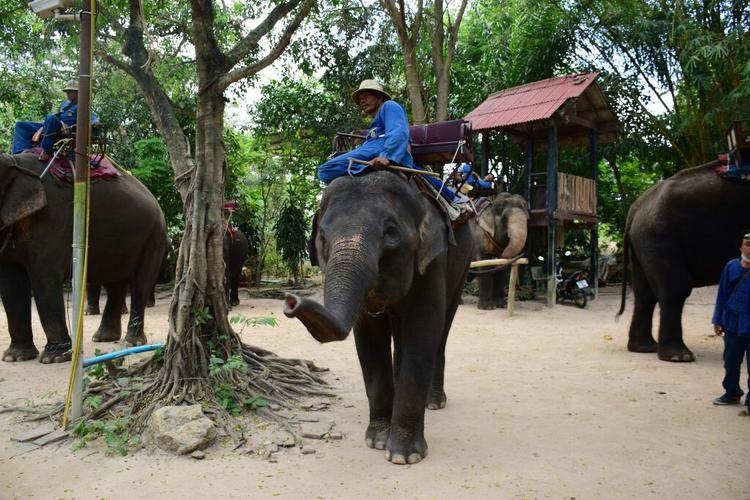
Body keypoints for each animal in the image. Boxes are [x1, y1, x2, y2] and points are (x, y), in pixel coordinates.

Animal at [0, 152, 167, 364]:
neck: (14, 162)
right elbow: (10, 286)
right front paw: (14, 357)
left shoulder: (52, 223)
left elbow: (44, 280)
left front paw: (54, 358)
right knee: (115, 284)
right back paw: (104, 338)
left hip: (154, 236)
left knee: (141, 282)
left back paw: (131, 342)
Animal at [284, 172, 472, 464]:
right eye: (323, 237)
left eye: (391, 233)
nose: (291, 301)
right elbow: (369, 338)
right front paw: (377, 441)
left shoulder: (433, 261)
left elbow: (423, 329)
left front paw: (405, 456)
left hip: (464, 264)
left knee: (443, 328)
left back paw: (434, 402)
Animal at [616, 164, 750, 364]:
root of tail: (635, 208)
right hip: (660, 237)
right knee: (675, 288)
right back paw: (679, 356)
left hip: (643, 242)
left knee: (644, 293)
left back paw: (644, 348)